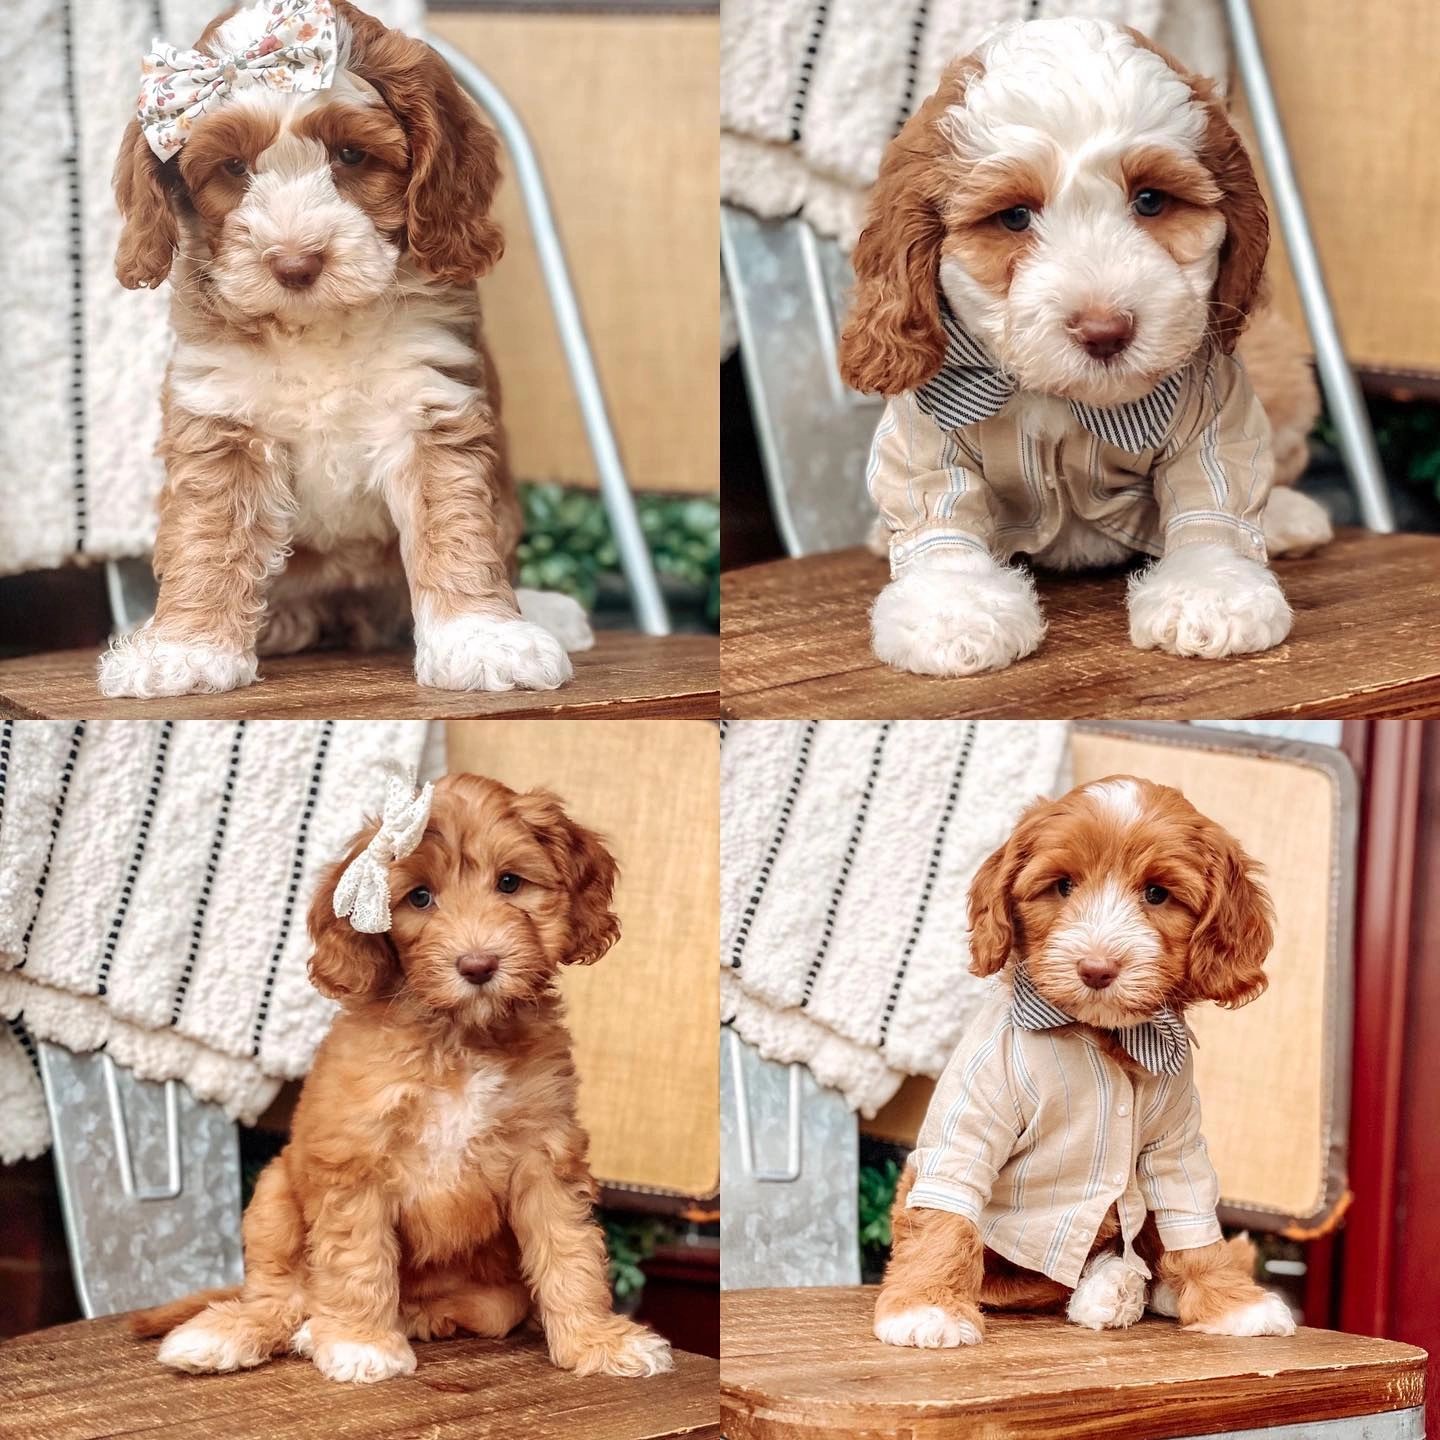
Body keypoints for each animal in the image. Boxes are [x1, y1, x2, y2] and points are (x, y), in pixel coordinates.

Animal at [100, 0, 590, 696]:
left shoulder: (429, 401)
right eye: (233, 168)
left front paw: (483, 640)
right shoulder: (222, 417)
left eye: (351, 155)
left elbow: (455, 524)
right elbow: (208, 534)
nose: (294, 263)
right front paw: (185, 652)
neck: (316, 328)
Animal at [132, 777, 671, 1382]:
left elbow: (570, 1250)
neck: (458, 1037)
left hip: (490, 1293)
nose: (479, 966)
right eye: (419, 898)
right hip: (273, 1195)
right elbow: (358, 1258)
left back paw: (394, 1319)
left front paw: (596, 1340)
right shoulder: (355, 1158)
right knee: (282, 1295)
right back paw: (233, 1332)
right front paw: (361, 1341)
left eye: (510, 883)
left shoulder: (544, 1154)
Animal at [840, 18, 1324, 673]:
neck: (1064, 399)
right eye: (1015, 217)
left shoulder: (1216, 406)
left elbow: (1215, 496)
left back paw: (1287, 517)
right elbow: (937, 514)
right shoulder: (927, 428)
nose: (1104, 329)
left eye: (1150, 200)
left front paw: (1211, 594)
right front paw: (955, 614)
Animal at [869, 777, 1301, 1347]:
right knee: (1021, 1280)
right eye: (1063, 886)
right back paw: (1110, 1288)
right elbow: (946, 1215)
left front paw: (1232, 1303)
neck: (1104, 1035)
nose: (1097, 968)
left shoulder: (1177, 1146)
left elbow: (1193, 1223)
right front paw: (926, 1309)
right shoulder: (971, 1119)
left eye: (1157, 894)